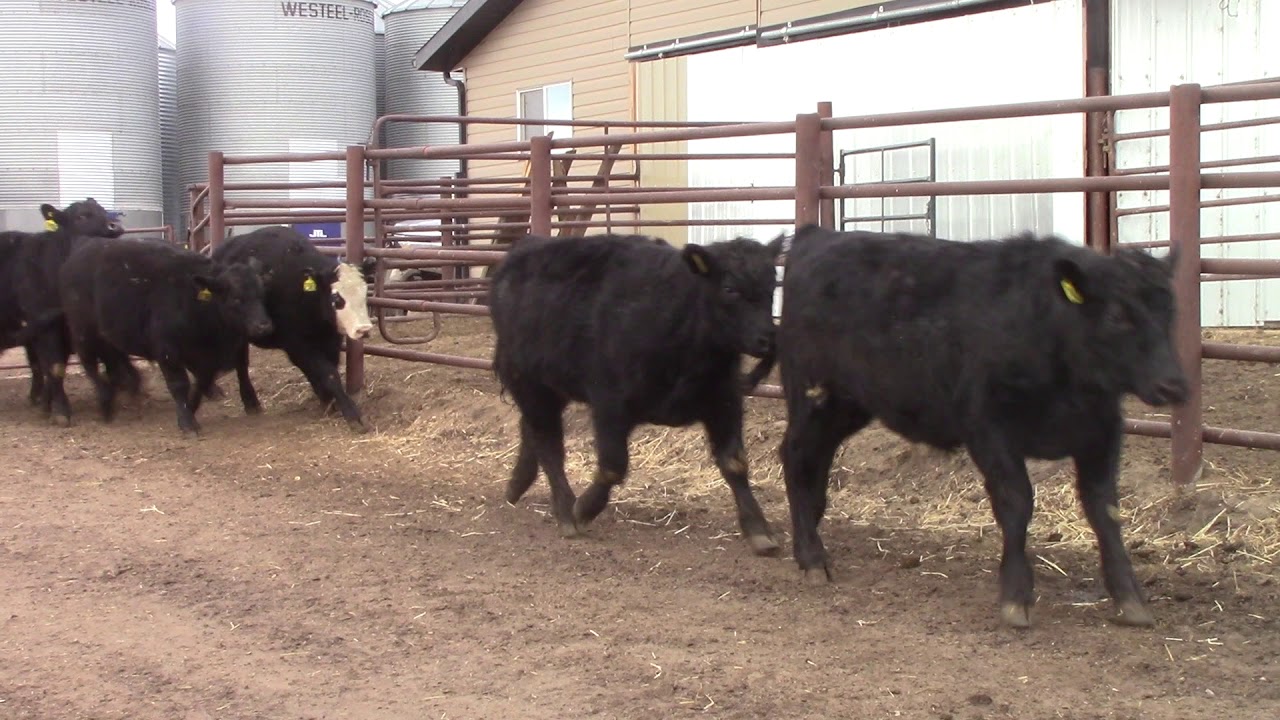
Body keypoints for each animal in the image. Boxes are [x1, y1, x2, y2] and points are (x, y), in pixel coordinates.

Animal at [3, 199, 128, 422]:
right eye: (81, 216)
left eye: (103, 210)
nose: (114, 226)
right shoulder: (47, 324)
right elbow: (55, 367)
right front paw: (61, 410)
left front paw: (49, 403)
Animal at [57, 237, 274, 436]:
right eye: (236, 299)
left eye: (261, 294)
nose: (263, 325)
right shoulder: (167, 351)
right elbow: (179, 384)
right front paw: (187, 422)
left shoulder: (209, 358)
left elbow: (202, 381)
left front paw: (191, 406)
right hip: (83, 332)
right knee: (89, 364)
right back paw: (105, 401)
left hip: (108, 335)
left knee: (113, 358)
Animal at [210, 226, 373, 431]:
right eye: (336, 298)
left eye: (365, 293)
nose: (364, 329)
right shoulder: (297, 345)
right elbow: (328, 373)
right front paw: (351, 414)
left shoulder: (331, 341)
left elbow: (327, 369)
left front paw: (328, 401)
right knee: (241, 363)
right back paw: (250, 401)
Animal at [489, 232, 783, 555]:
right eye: (730, 289)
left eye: (772, 285)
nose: (768, 339)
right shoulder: (609, 405)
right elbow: (613, 466)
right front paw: (584, 509)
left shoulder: (724, 403)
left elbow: (734, 463)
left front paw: (759, 530)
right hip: (530, 384)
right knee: (548, 443)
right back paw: (565, 510)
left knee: (529, 430)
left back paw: (517, 485)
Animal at [773, 224, 1189, 629]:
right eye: (1118, 315)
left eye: (1170, 312)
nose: (1174, 384)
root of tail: (817, 235)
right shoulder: (989, 429)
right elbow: (1016, 501)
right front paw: (1016, 596)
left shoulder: (1102, 432)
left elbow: (1104, 509)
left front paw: (1129, 597)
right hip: (811, 392)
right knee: (795, 455)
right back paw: (811, 555)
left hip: (846, 404)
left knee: (818, 454)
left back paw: (809, 529)